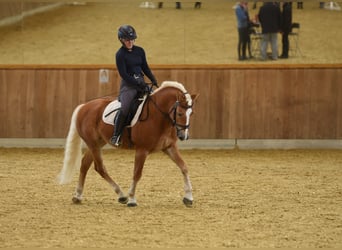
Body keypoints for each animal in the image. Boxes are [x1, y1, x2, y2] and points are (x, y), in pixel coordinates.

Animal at [57, 80, 199, 207]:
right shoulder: (142, 150)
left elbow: (184, 167)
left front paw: (188, 197)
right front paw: (132, 199)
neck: (158, 116)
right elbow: (137, 174)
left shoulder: (169, 147)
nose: (184, 136)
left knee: (85, 164)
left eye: (191, 113)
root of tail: (84, 106)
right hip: (93, 144)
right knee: (100, 167)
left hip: (98, 143)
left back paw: (78, 196)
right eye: (180, 113)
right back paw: (121, 195)